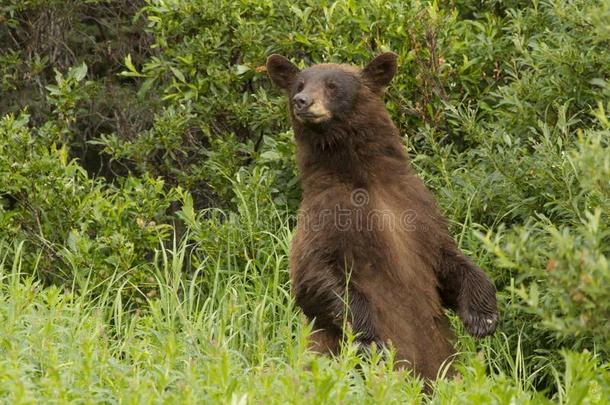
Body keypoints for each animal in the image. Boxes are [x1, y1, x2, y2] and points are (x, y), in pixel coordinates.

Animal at [264, 51, 494, 378]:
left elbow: (446, 258)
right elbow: (314, 276)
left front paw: (482, 316)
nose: (302, 101)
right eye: (299, 84)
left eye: (333, 85)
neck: (363, 177)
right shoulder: (325, 215)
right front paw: (370, 338)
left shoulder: (417, 206)